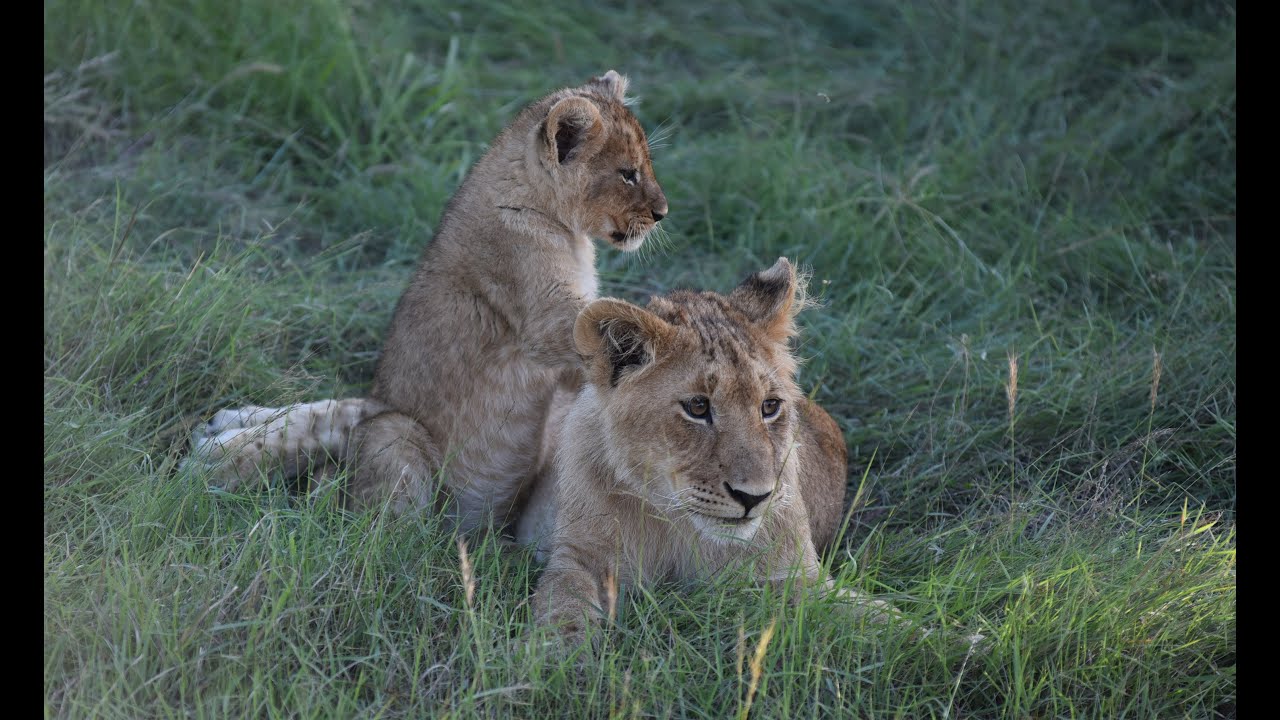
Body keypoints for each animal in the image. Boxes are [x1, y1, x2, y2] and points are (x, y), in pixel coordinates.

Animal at [186, 70, 668, 534]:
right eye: (628, 173)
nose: (663, 213)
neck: (554, 218)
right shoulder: (544, 321)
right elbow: (603, 322)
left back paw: (223, 433)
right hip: (399, 432)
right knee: (376, 517)